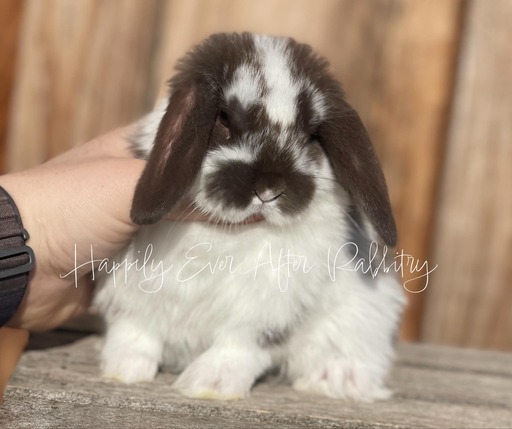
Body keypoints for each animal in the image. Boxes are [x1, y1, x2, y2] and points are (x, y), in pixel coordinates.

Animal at [94, 31, 406, 400]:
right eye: (225, 119)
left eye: (311, 135)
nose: (269, 189)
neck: (227, 234)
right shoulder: (132, 296)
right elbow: (135, 332)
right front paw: (122, 370)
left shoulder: (270, 311)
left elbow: (241, 347)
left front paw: (210, 385)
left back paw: (337, 377)